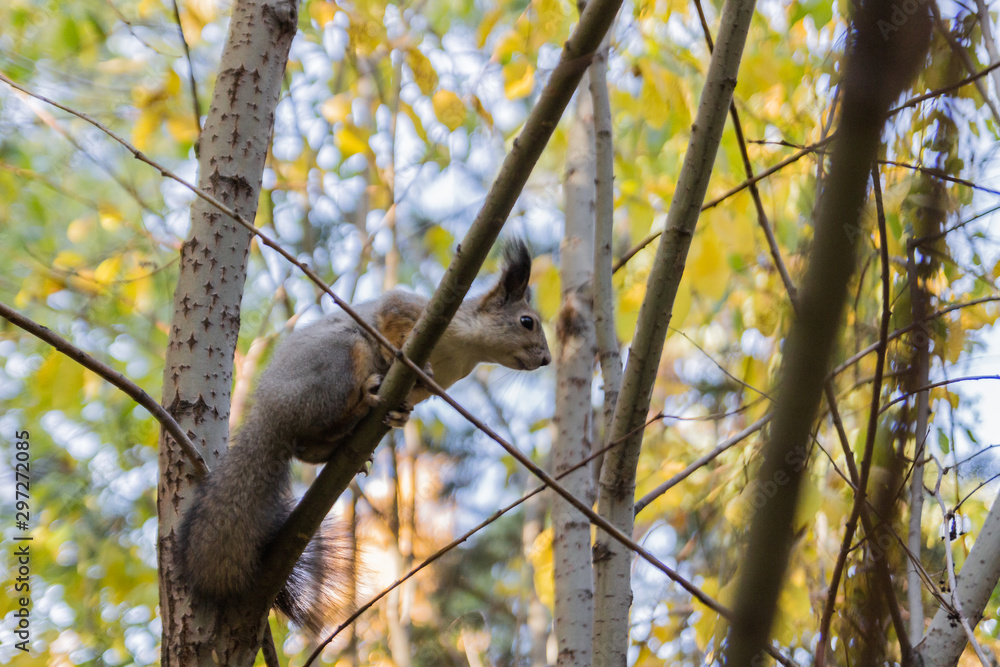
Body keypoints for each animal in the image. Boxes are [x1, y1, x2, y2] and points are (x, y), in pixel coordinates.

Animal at [177, 240, 551, 635]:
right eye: (527, 322)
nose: (546, 359)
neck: (465, 350)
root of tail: (272, 415)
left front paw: (401, 414)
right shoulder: (412, 308)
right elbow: (392, 317)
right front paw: (394, 352)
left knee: (308, 446)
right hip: (341, 359)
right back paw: (364, 400)